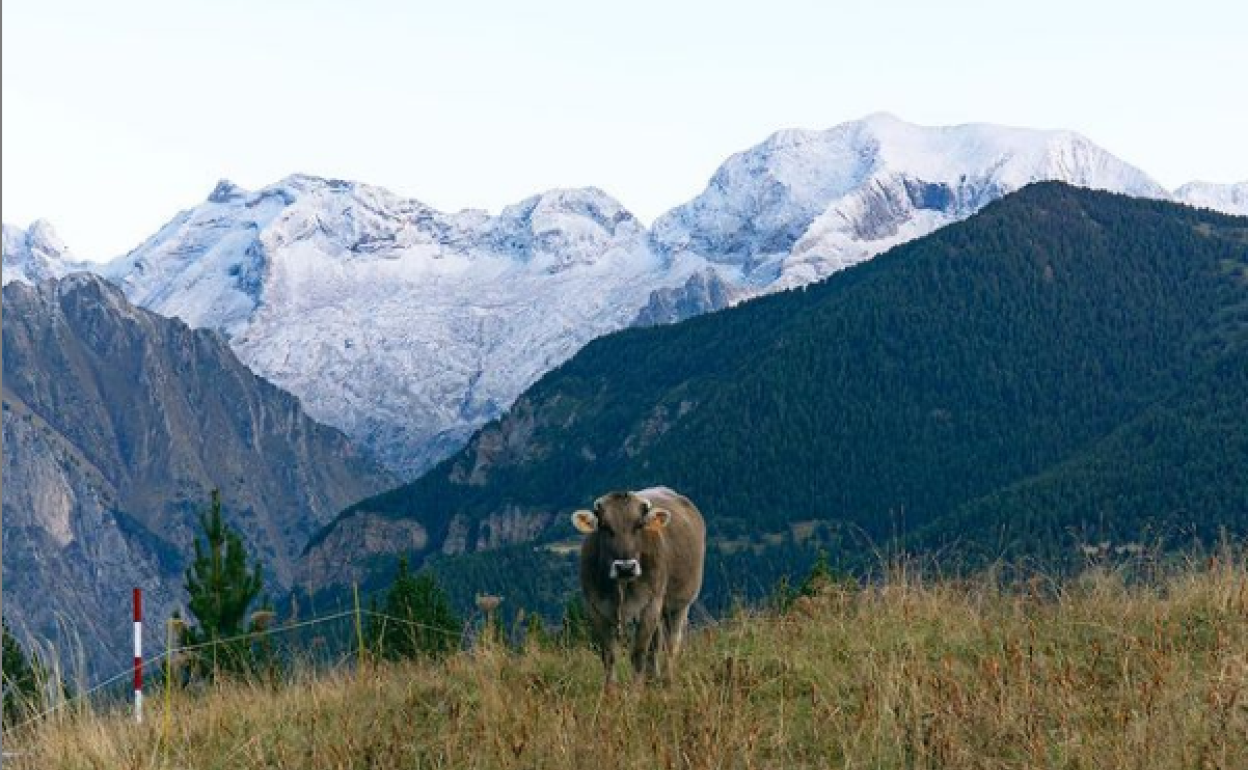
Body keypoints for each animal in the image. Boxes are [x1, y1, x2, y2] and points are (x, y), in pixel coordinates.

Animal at [571, 486, 708, 683]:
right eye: (605, 527)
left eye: (639, 526)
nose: (625, 567)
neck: (621, 586)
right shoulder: (596, 608)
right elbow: (609, 655)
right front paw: (610, 690)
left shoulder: (650, 605)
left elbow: (638, 654)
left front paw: (636, 690)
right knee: (656, 646)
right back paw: (653, 679)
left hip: (679, 605)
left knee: (671, 645)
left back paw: (668, 680)